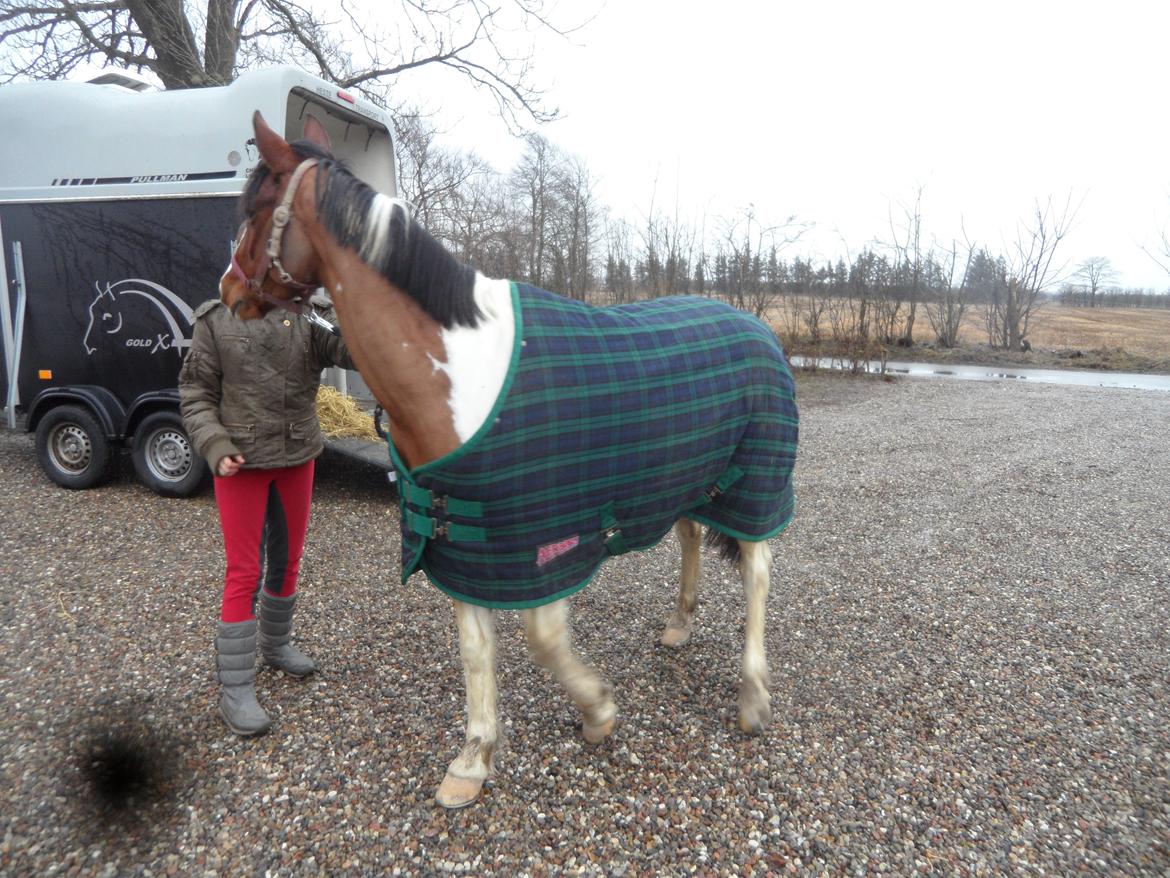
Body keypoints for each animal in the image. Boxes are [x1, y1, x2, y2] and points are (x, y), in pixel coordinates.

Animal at [220, 111, 799, 809]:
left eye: (254, 207)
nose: (228, 290)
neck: (461, 374)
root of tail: (758, 327)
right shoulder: (467, 548)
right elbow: (476, 653)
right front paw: (472, 761)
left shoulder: (540, 548)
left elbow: (545, 643)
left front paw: (598, 712)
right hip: (687, 479)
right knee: (690, 536)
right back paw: (679, 628)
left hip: (755, 487)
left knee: (758, 573)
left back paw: (753, 699)